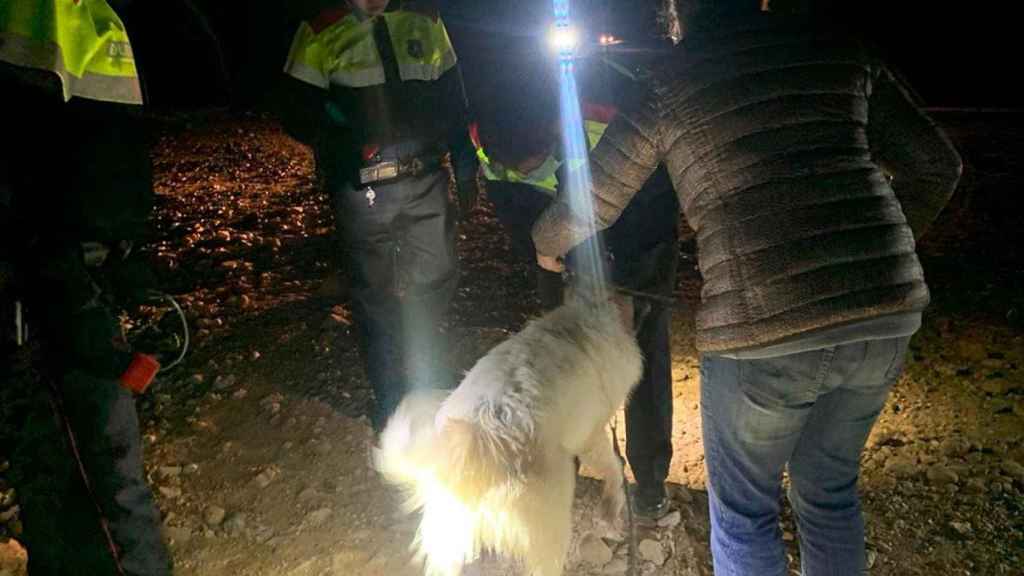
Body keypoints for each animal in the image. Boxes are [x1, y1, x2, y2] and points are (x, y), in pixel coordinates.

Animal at [372, 291, 643, 573]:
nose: (646, 303)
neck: (589, 320)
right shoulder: (589, 435)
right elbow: (613, 465)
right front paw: (612, 504)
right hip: (552, 517)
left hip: (449, 532)